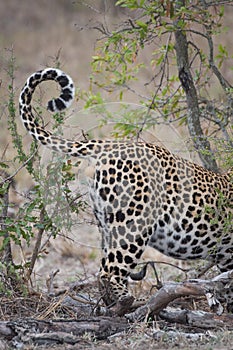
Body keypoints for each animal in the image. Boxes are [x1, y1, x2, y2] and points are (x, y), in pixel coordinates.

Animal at [19, 68, 232, 308]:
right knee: (109, 271)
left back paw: (109, 305)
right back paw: (126, 302)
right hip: (134, 225)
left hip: (107, 222)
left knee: (105, 268)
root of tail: (113, 145)